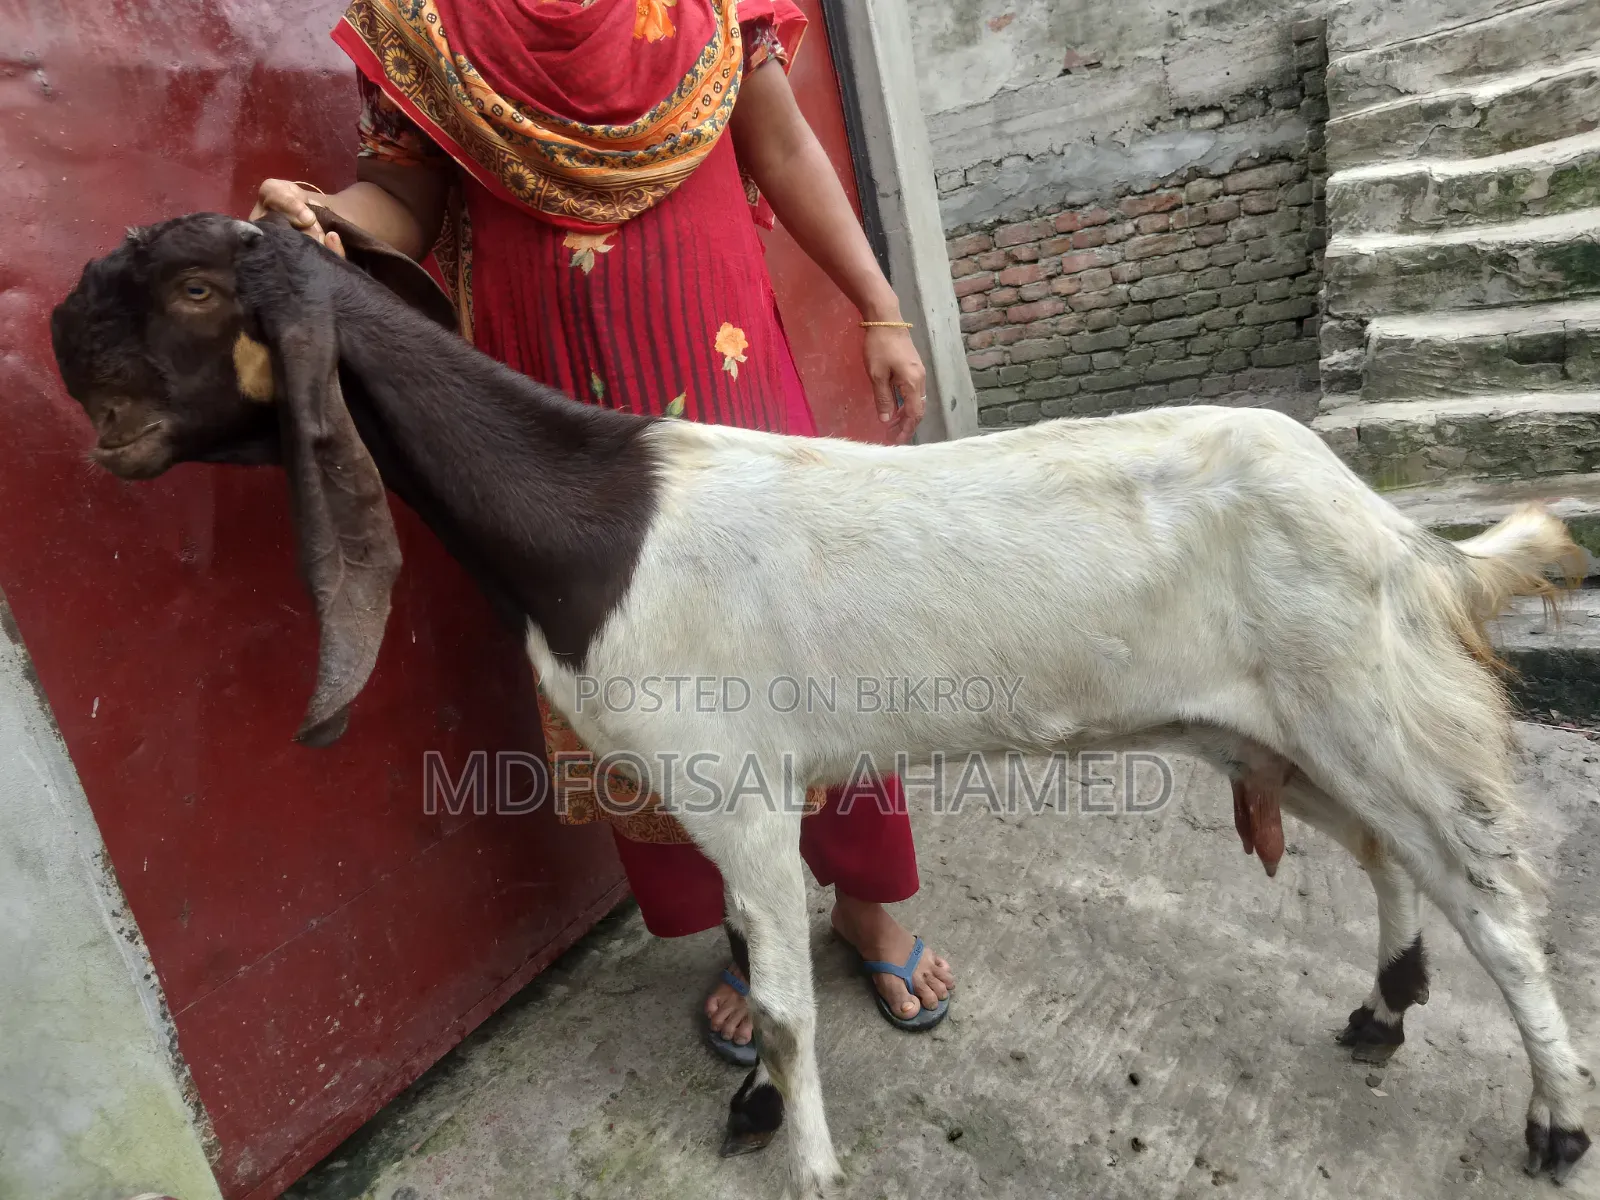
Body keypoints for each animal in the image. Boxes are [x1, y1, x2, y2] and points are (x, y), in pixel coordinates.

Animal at [51, 211, 1593, 1194]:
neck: (589, 521)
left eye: (195, 292)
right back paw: (1386, 1008)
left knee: (1487, 890)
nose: (58, 336)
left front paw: (805, 1160)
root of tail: (1398, 532)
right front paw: (752, 1107)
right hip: (1270, 720)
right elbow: (749, 951)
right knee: (1386, 850)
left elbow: (788, 999)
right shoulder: (719, 789)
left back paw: (1553, 1123)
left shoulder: (728, 781)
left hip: (1356, 693)